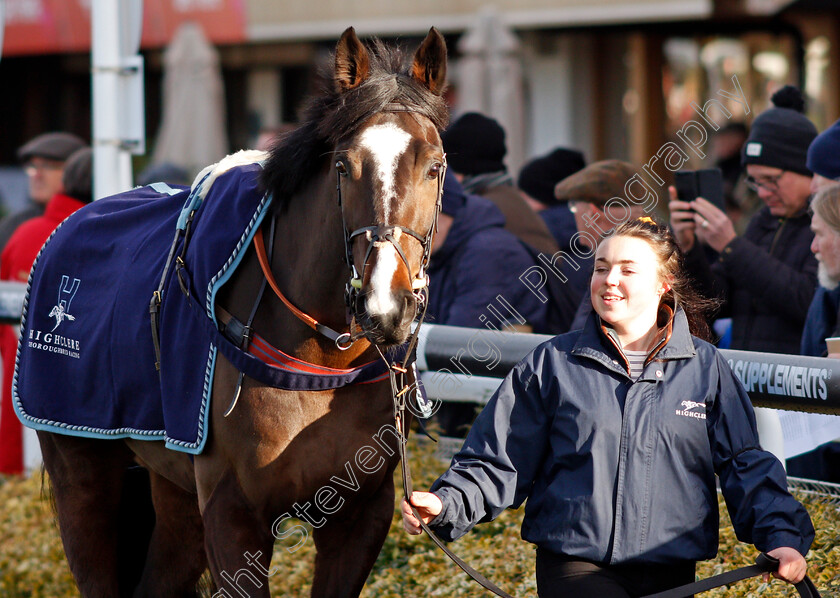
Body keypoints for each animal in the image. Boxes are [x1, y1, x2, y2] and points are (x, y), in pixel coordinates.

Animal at [34, 28, 446, 598]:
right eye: (344, 166)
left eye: (434, 165)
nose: (385, 304)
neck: (323, 367)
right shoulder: (234, 514)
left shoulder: (360, 516)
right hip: (82, 470)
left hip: (171, 487)